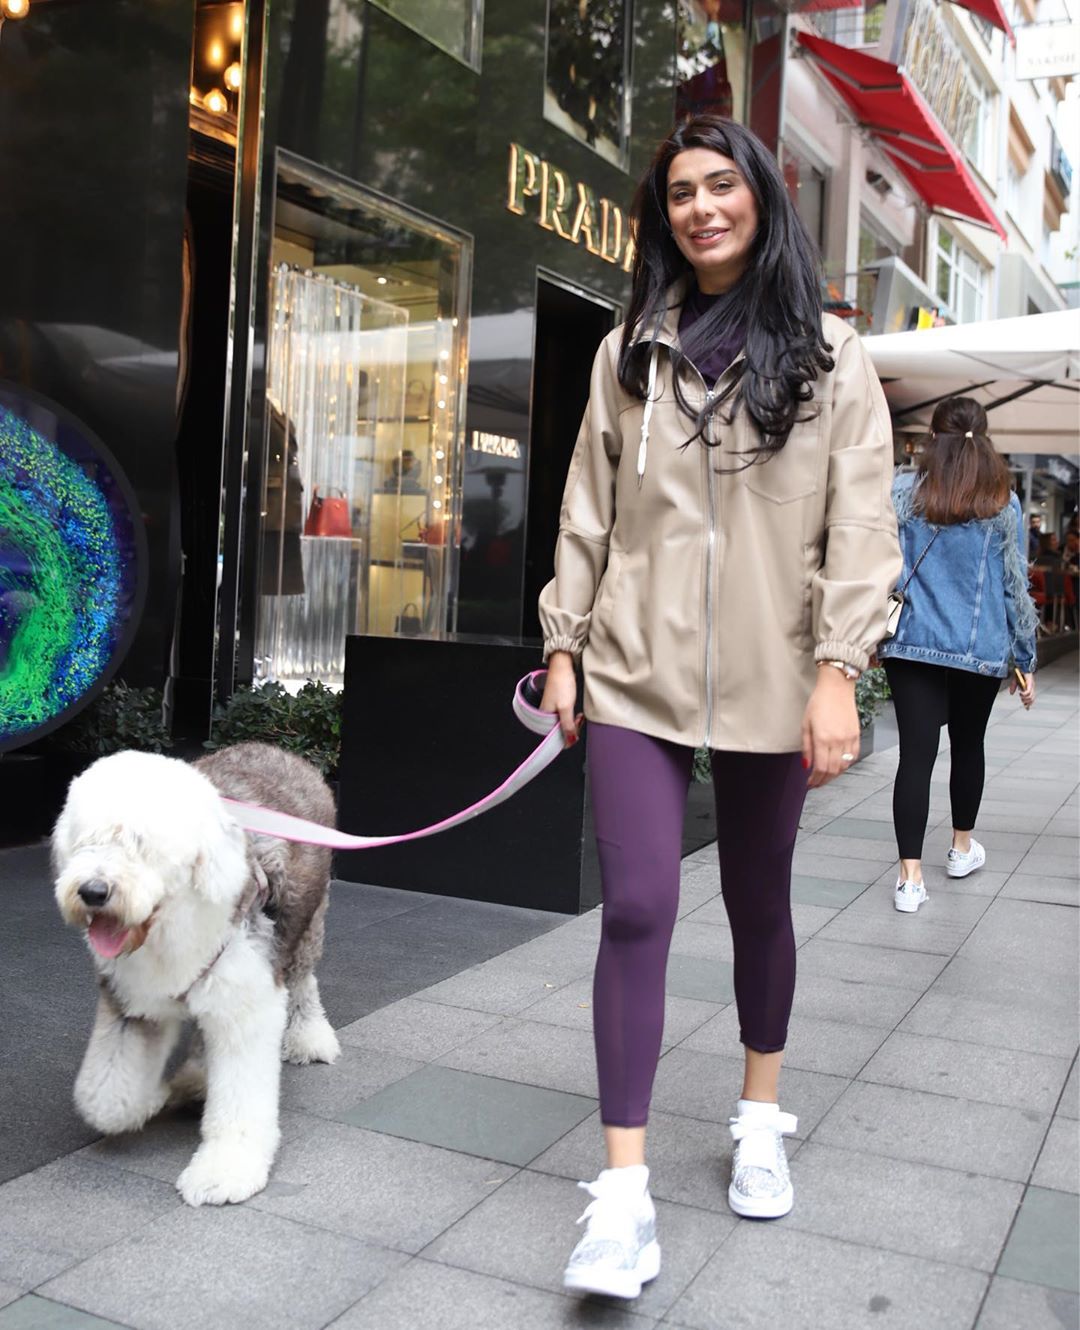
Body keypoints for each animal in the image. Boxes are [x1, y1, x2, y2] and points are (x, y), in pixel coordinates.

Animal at [52, 741, 341, 1206]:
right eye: (85, 841)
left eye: (139, 844)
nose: (93, 892)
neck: (171, 922)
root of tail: (273, 749)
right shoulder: (133, 1000)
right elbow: (105, 1097)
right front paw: (152, 1097)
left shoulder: (247, 1000)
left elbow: (241, 1096)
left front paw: (224, 1171)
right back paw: (194, 1079)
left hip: (307, 926)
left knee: (302, 980)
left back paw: (309, 1037)